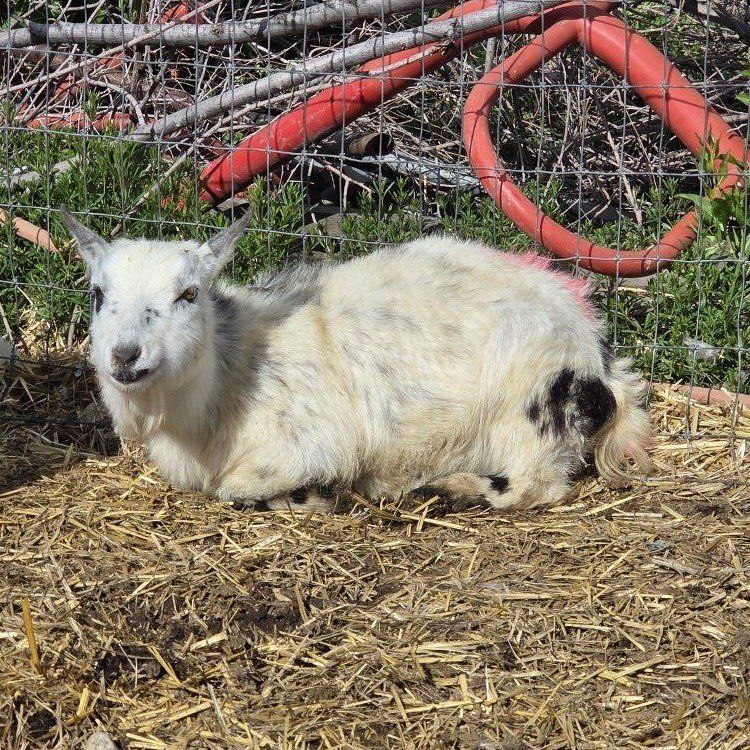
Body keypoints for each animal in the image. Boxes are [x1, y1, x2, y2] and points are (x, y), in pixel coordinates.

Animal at [61, 206, 651, 511]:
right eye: (97, 293)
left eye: (188, 293)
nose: (125, 355)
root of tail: (597, 358)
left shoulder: (307, 444)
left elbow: (239, 489)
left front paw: (316, 495)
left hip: (529, 406)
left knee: (536, 485)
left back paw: (446, 489)